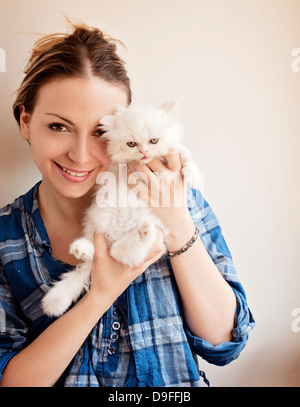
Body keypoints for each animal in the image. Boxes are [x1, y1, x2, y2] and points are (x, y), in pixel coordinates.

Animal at [41, 100, 199, 318]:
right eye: (131, 144)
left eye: (153, 141)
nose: (144, 152)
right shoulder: (114, 166)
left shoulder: (174, 150)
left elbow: (185, 155)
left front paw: (192, 177)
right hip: (99, 222)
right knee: (111, 253)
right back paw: (83, 249)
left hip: (156, 227)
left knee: (122, 253)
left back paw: (141, 234)